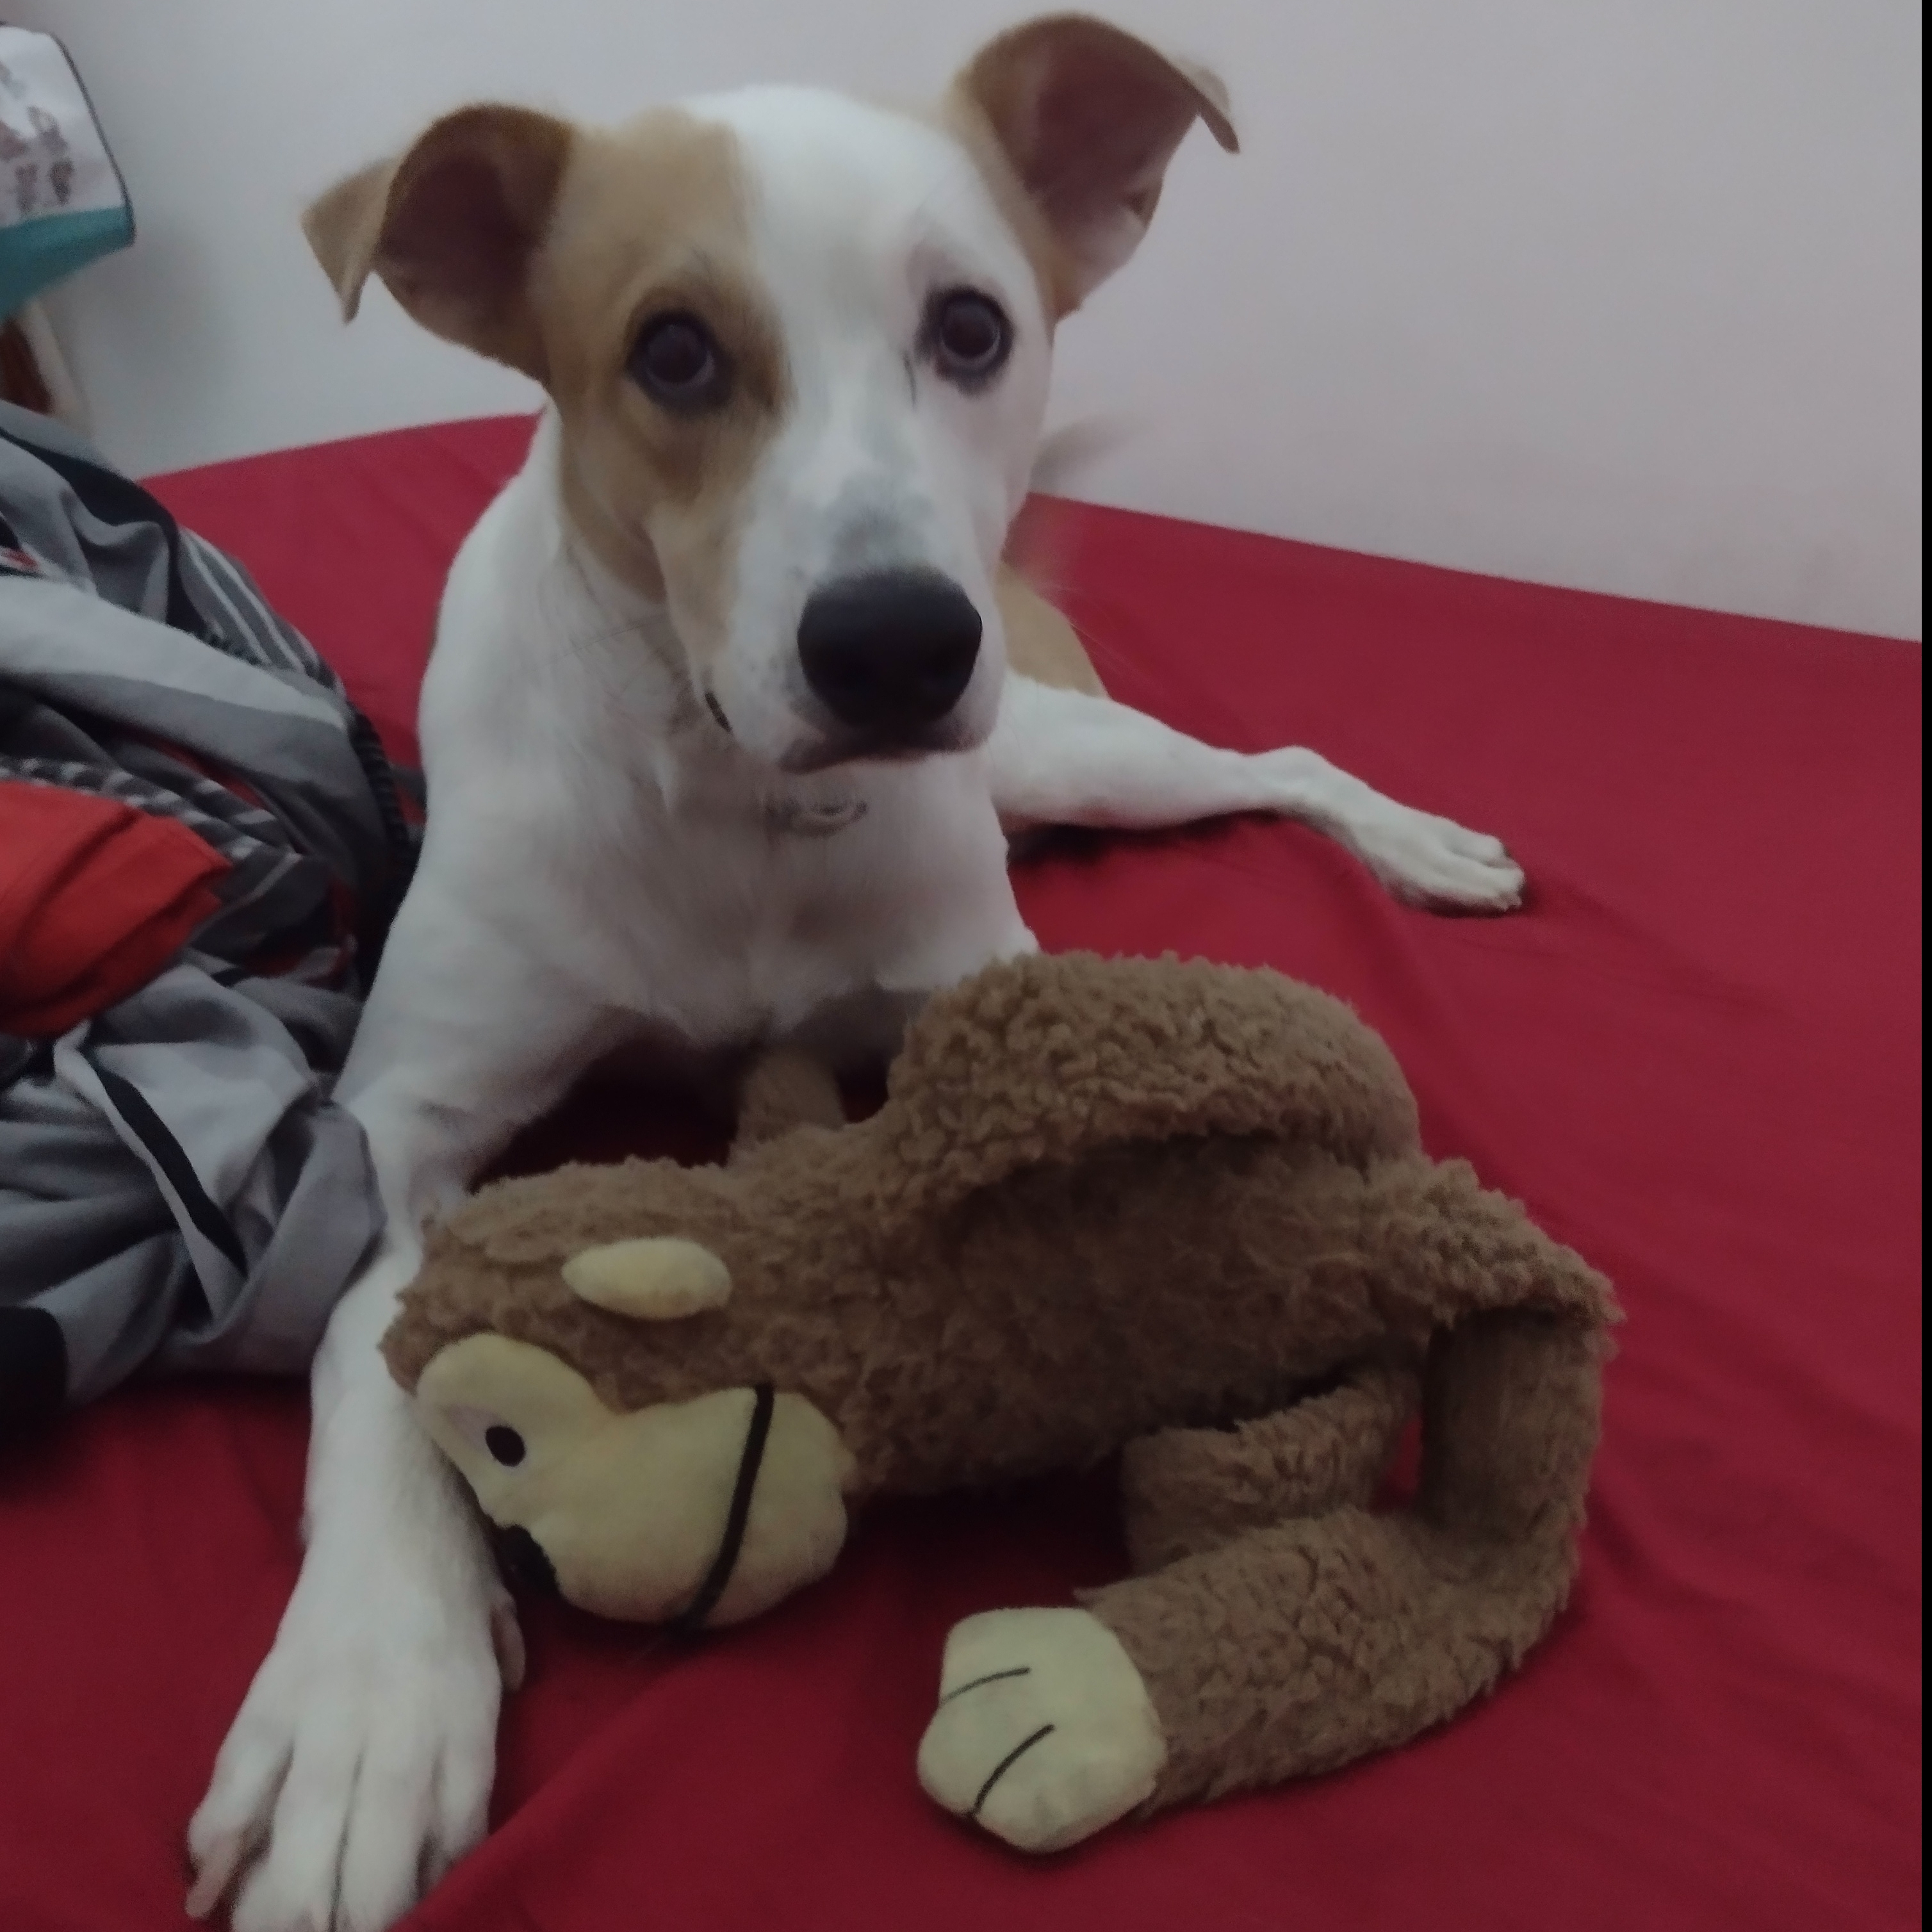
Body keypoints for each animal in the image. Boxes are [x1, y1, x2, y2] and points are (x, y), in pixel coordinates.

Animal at [184, 17, 1524, 1929]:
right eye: (671, 350)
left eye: (970, 327)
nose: (896, 642)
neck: (734, 793)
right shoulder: (402, 1120)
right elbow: (366, 1373)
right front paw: (369, 1697)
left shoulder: (974, 978)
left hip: (1068, 750)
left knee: (1268, 759)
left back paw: (1414, 843)